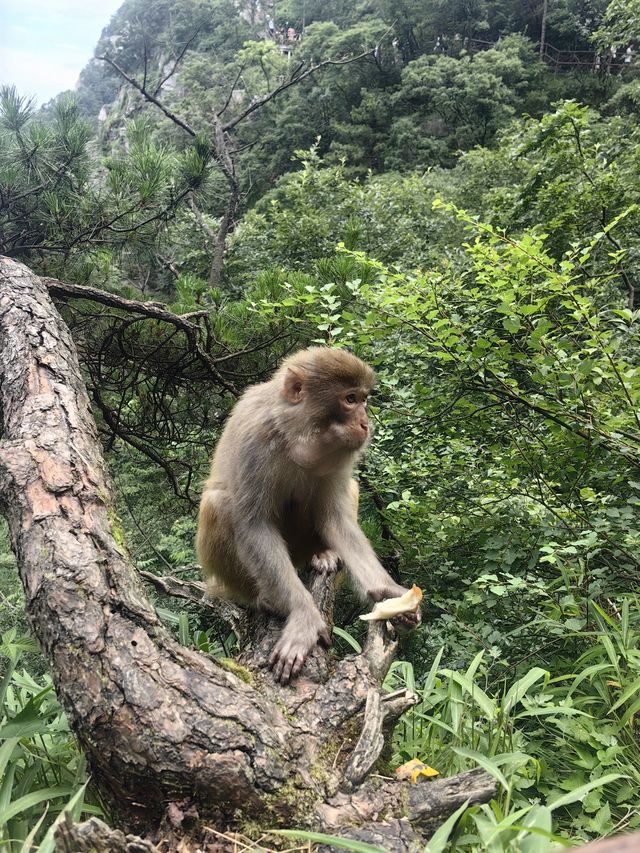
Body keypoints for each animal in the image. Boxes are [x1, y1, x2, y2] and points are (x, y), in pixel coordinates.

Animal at [198, 342, 422, 684]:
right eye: (350, 399)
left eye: (364, 399)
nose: (365, 424)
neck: (295, 437)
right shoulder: (255, 438)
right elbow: (253, 524)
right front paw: (304, 617)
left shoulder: (341, 453)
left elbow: (335, 518)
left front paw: (387, 592)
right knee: (220, 503)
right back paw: (264, 598)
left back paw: (324, 555)